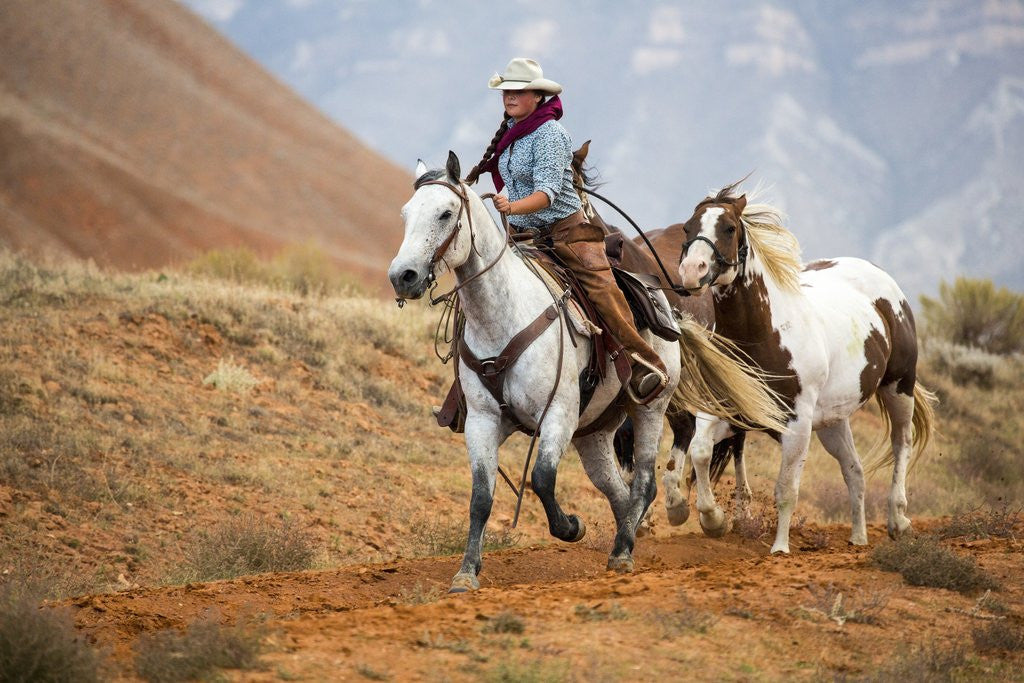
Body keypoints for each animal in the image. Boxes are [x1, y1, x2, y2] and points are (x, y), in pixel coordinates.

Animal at [389, 153, 787, 592]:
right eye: (406, 213)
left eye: (445, 213)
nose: (402, 276)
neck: (503, 315)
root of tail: (666, 303)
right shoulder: (482, 420)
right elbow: (481, 496)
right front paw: (466, 573)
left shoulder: (558, 414)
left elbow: (542, 478)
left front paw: (570, 527)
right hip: (593, 431)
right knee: (618, 490)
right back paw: (625, 537)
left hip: (649, 409)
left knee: (644, 481)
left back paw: (625, 552)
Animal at [670, 182, 936, 554]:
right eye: (687, 228)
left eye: (729, 228)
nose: (692, 271)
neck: (764, 334)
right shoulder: (733, 413)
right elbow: (700, 452)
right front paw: (713, 520)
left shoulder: (796, 425)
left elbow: (786, 489)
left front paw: (780, 547)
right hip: (832, 421)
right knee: (854, 470)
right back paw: (858, 537)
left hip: (899, 387)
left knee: (901, 444)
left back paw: (898, 521)